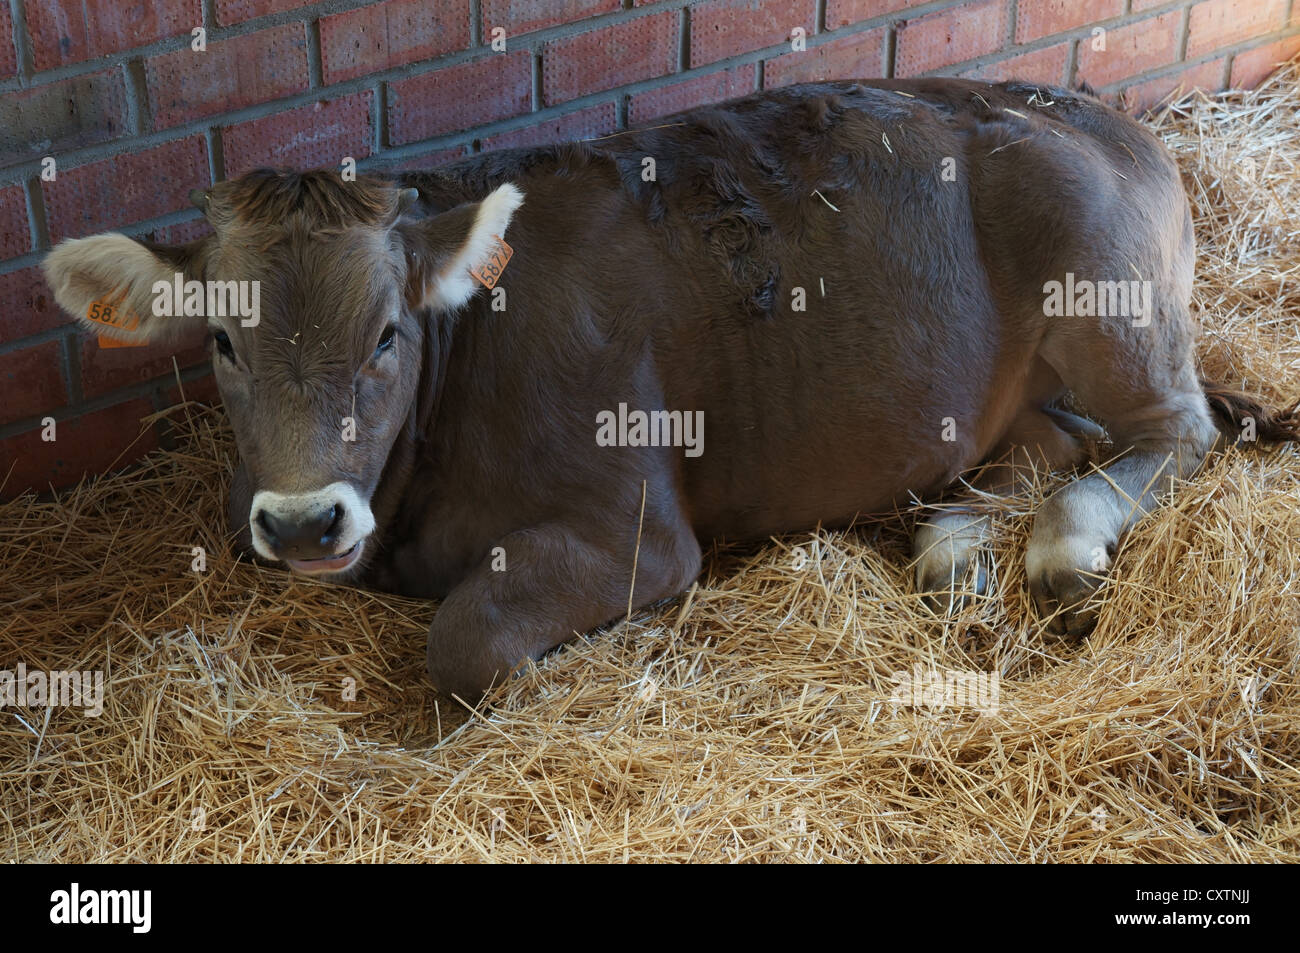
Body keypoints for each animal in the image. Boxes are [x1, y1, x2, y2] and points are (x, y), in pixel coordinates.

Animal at [45, 79, 1294, 696]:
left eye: (389, 332)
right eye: (221, 341)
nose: (306, 522)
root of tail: (1098, 114)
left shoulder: (635, 530)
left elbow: (467, 640)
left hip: (1109, 305)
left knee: (1171, 430)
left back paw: (1062, 547)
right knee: (1042, 435)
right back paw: (950, 551)